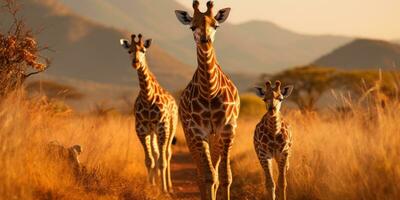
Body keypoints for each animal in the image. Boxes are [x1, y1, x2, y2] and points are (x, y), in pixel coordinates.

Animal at [119, 33, 177, 193]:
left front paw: (164, 190)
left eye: (143, 50)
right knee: (157, 154)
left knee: (167, 154)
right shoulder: (141, 129)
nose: (135, 62)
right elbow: (149, 160)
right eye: (129, 51)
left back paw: (169, 186)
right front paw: (150, 186)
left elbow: (162, 161)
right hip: (153, 132)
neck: (147, 97)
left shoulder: (163, 127)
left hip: (171, 127)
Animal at [176, 0, 241, 199]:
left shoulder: (227, 130)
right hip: (190, 136)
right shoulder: (198, 132)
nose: (205, 40)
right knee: (200, 175)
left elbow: (225, 176)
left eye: (216, 25)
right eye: (192, 26)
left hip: (215, 138)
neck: (210, 91)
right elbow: (208, 176)